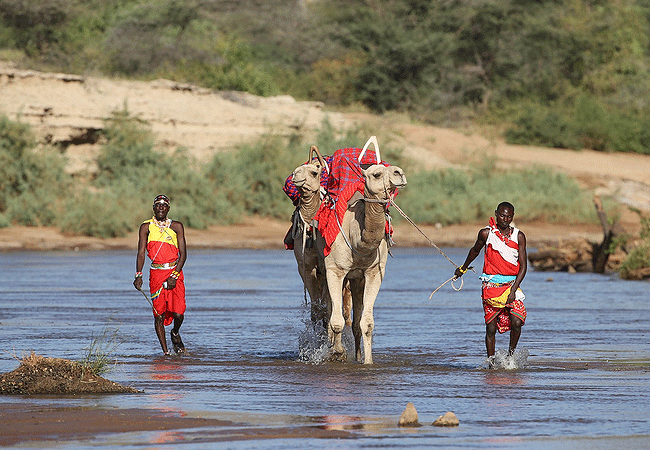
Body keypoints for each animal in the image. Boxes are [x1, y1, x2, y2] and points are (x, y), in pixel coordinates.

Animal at [317, 163, 407, 364]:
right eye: (377, 174)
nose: (400, 173)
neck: (357, 238)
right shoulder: (335, 270)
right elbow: (337, 321)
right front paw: (338, 352)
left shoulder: (374, 272)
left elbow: (367, 323)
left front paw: (368, 361)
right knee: (329, 311)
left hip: (356, 279)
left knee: (354, 317)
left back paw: (357, 355)